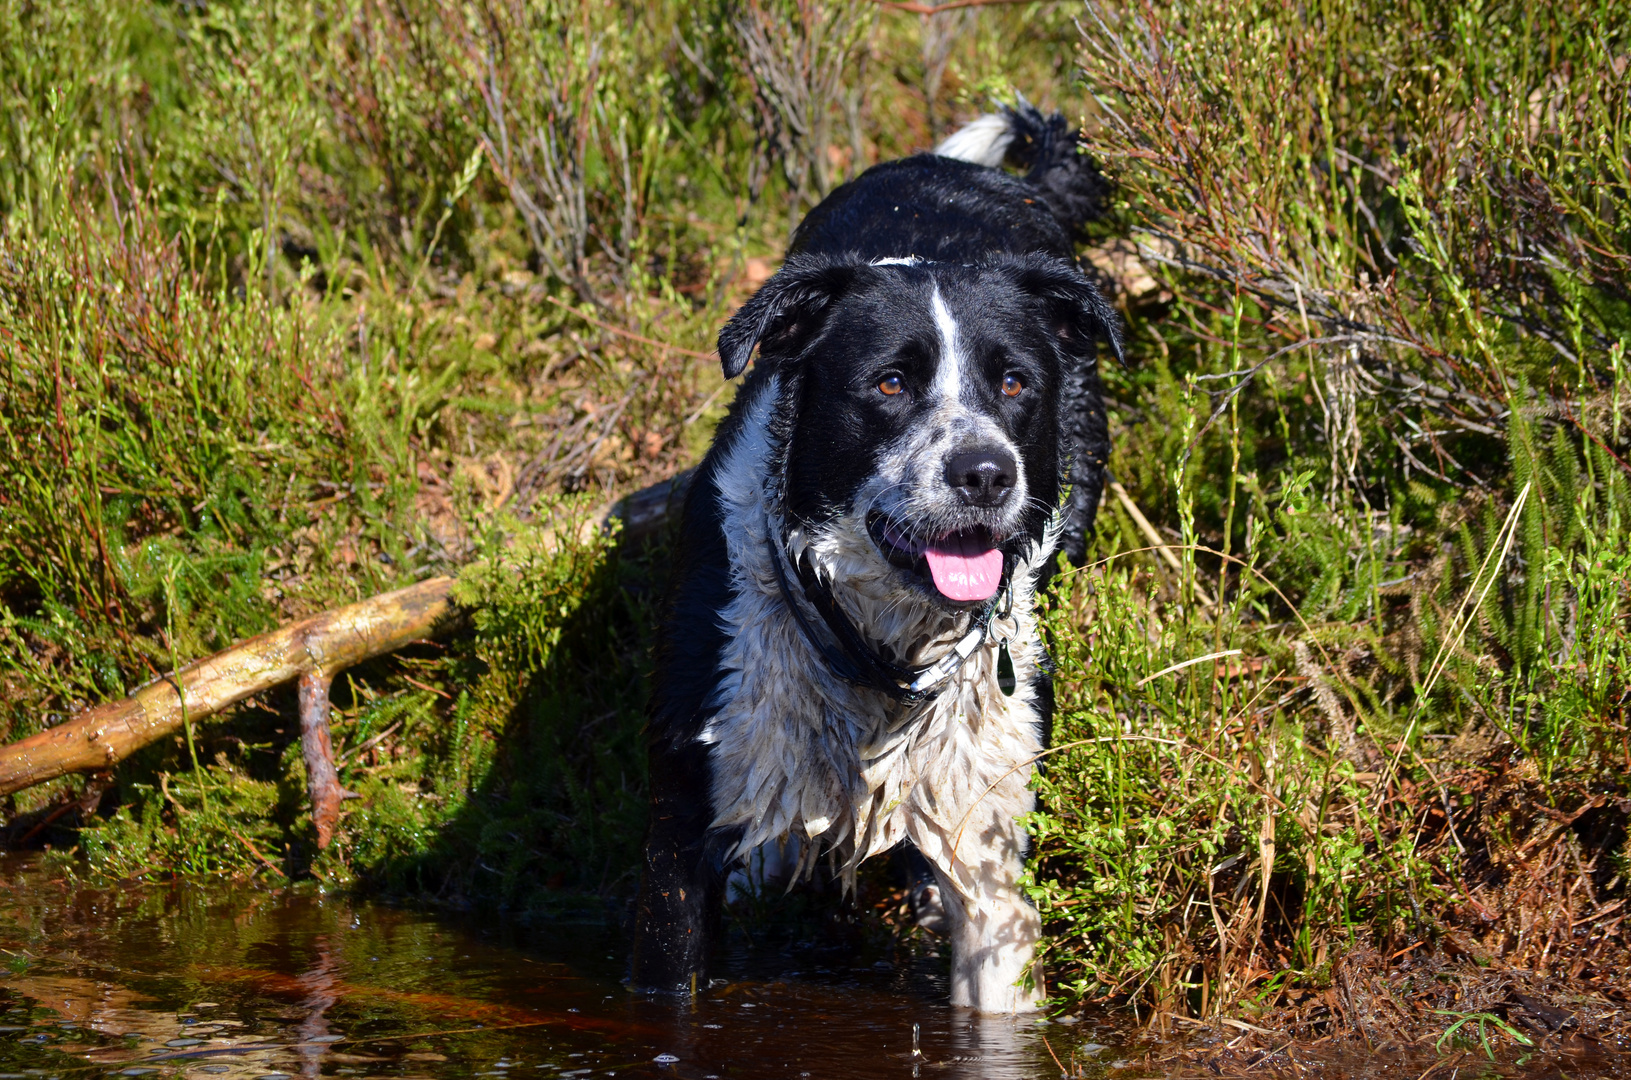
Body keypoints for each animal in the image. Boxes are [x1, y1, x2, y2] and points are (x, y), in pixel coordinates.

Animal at [626, 101, 1122, 1018]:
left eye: (1014, 382)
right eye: (889, 383)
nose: (984, 473)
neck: (878, 655)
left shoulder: (990, 836)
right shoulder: (681, 829)